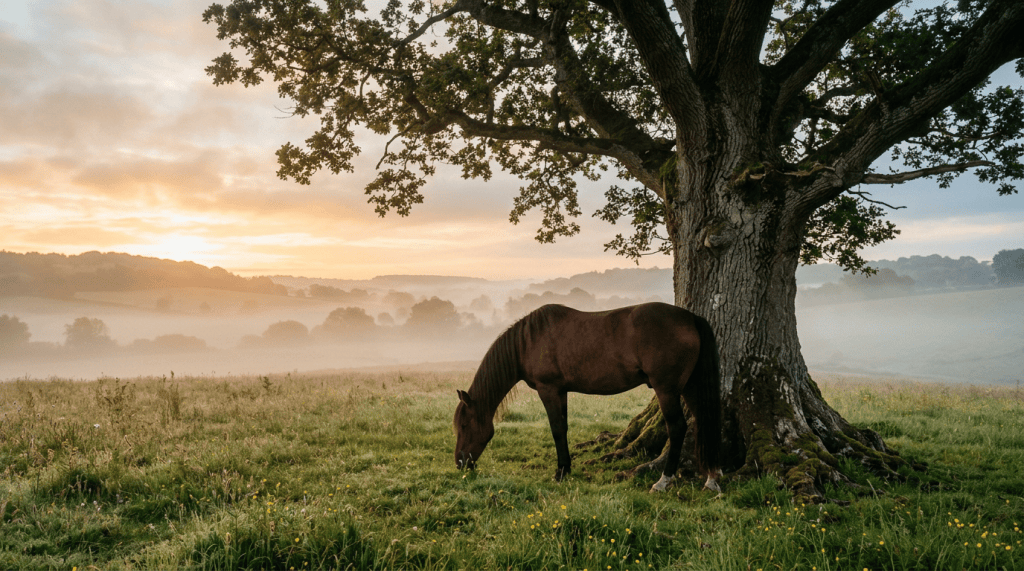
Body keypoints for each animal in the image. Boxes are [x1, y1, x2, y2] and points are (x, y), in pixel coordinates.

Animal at [453, 302, 722, 493]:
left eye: (464, 425)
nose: (460, 463)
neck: (528, 341)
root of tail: (690, 318)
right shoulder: (561, 391)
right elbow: (563, 428)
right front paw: (566, 468)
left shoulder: (548, 389)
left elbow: (556, 430)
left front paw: (560, 472)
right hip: (689, 387)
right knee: (703, 422)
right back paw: (711, 478)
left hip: (666, 389)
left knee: (677, 427)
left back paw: (663, 481)